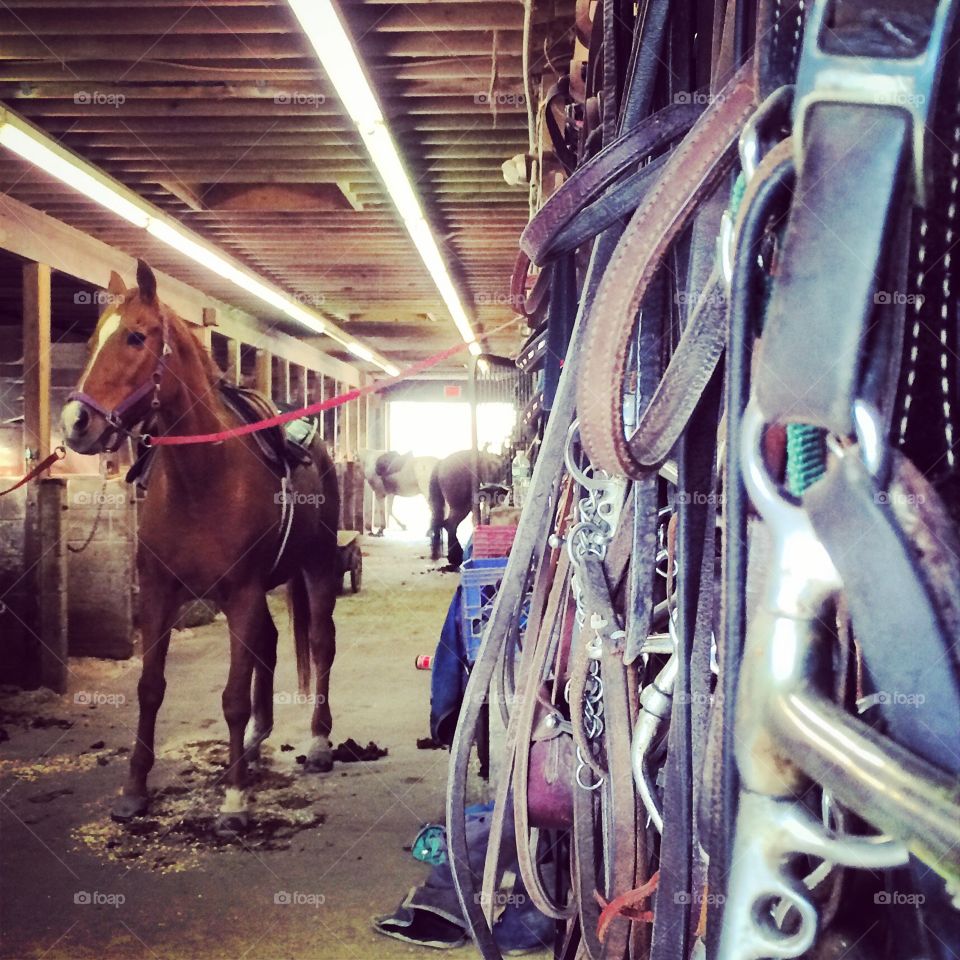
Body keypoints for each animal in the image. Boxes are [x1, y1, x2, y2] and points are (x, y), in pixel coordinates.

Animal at [61, 261, 341, 836]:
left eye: (136, 336)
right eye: (92, 341)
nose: (75, 423)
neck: (201, 478)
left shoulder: (241, 592)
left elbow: (232, 697)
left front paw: (233, 802)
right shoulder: (160, 592)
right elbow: (150, 687)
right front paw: (134, 792)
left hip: (318, 565)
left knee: (321, 642)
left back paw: (319, 741)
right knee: (270, 643)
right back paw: (255, 743)